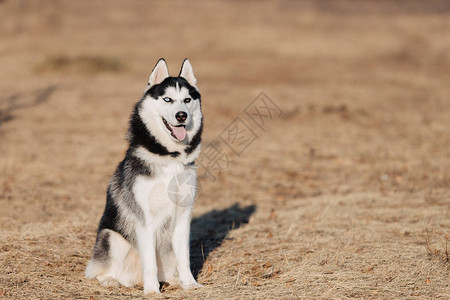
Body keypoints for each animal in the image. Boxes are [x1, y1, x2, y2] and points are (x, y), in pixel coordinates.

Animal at [85, 58, 204, 292]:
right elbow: (149, 262)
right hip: (112, 238)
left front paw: (190, 284)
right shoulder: (145, 219)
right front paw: (151, 291)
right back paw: (112, 280)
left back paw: (172, 280)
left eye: (187, 100)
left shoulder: (183, 216)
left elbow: (184, 258)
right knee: (97, 272)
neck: (170, 158)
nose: (182, 115)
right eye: (167, 99)